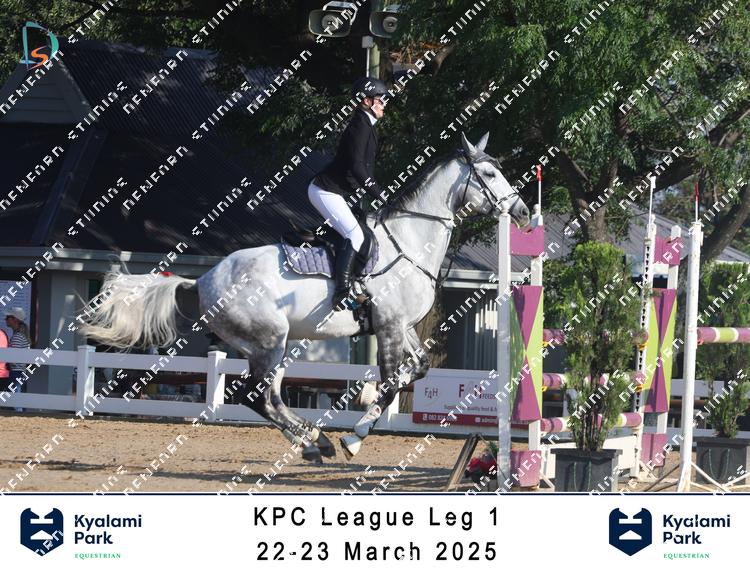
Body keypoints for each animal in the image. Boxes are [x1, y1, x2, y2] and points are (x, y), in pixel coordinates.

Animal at [80, 132, 529, 462]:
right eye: (488, 174)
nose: (523, 212)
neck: (410, 241)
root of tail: (203, 281)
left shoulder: (402, 326)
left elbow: (416, 371)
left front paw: (355, 425)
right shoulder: (388, 326)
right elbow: (388, 383)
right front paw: (354, 438)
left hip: (274, 346)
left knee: (268, 397)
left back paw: (313, 441)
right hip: (269, 341)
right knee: (250, 394)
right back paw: (317, 442)